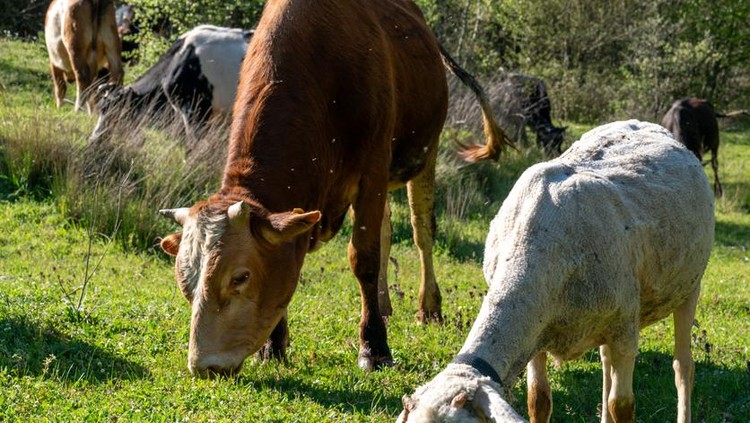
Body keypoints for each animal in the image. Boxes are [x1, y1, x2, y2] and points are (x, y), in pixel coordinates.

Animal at [158, 0, 513, 378]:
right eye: (185, 283)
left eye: (240, 277)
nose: (204, 365)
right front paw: (274, 345)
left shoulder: (371, 173)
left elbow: (364, 258)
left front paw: (374, 347)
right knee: (387, 231)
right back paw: (384, 305)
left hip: (423, 156)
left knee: (422, 233)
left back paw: (428, 308)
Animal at [398, 121, 714, 423]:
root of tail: (644, 122)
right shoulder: (535, 333)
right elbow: (538, 400)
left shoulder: (624, 331)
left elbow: (621, 406)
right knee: (605, 363)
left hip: (689, 288)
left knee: (683, 367)